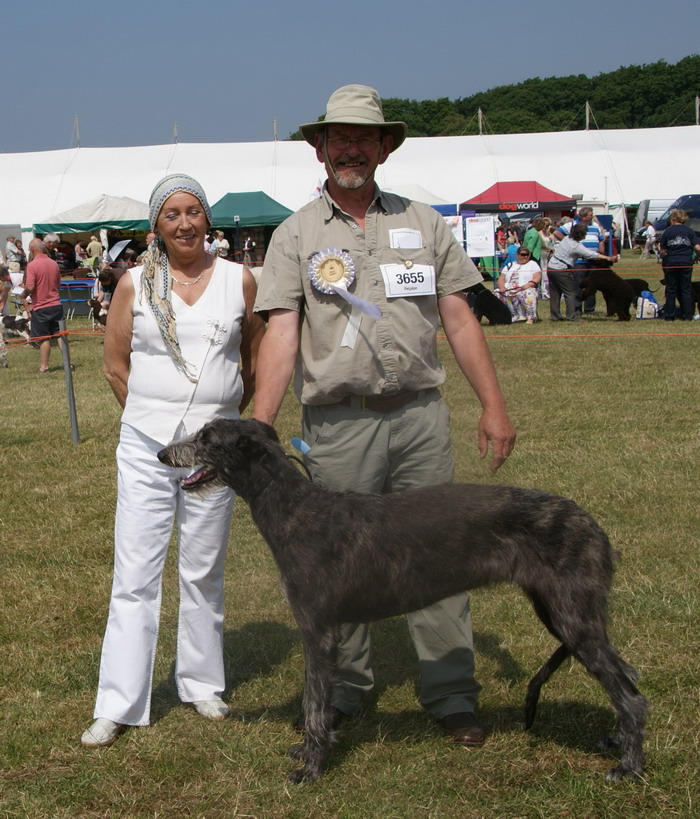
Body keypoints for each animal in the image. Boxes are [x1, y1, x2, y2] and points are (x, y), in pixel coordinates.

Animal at [159, 420, 644, 784]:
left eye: (206, 438)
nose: (164, 454)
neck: (295, 509)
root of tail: (595, 528)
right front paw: (308, 752)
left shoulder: (318, 630)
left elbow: (314, 704)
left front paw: (311, 767)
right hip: (561, 611)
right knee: (627, 677)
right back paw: (619, 741)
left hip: (572, 615)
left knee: (631, 692)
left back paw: (630, 766)